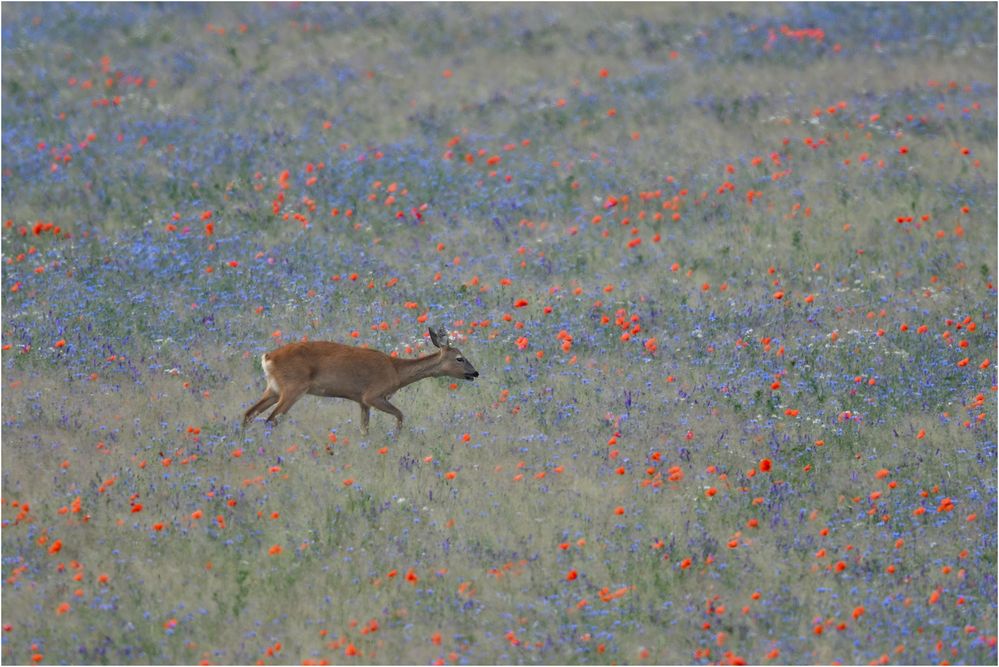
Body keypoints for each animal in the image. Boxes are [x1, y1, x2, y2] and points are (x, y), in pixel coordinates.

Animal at [240, 328, 478, 434]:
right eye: (460, 358)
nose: (475, 373)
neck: (396, 371)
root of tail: (268, 357)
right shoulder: (373, 395)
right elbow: (400, 415)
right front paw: (397, 436)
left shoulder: (362, 401)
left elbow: (364, 428)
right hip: (293, 388)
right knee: (271, 419)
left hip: (273, 389)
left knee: (249, 413)